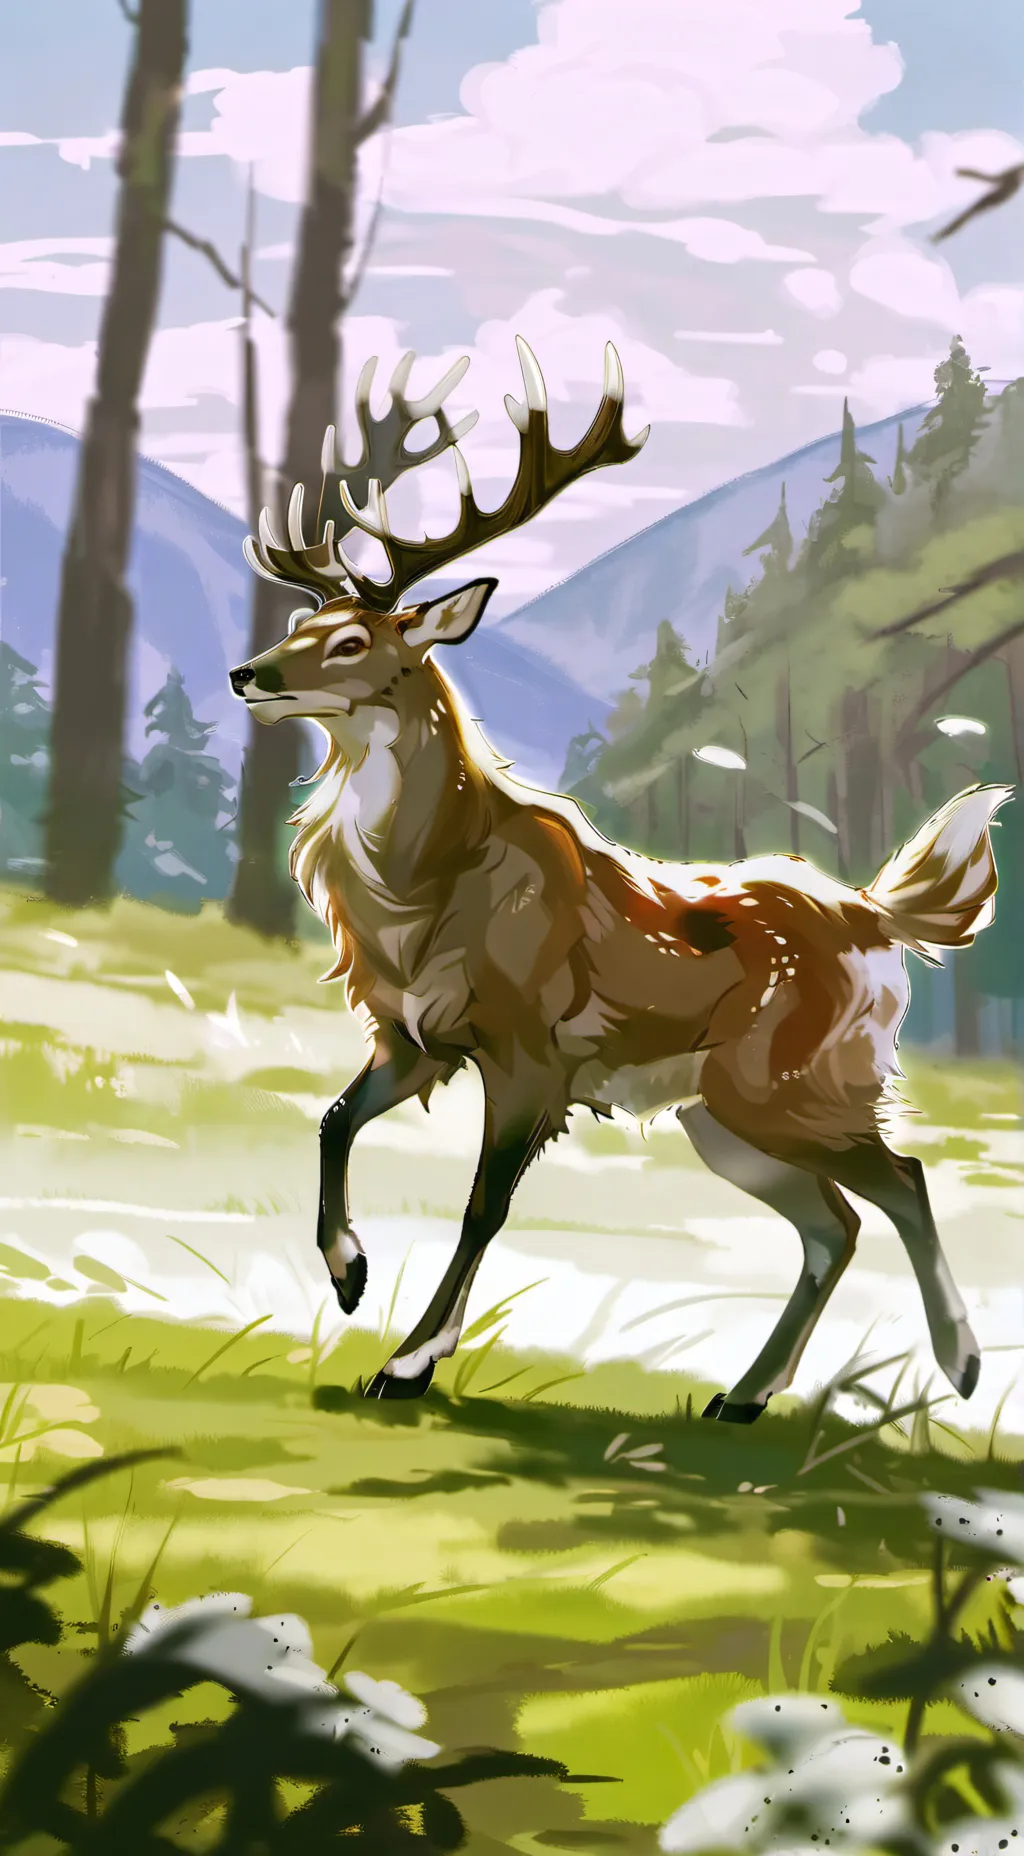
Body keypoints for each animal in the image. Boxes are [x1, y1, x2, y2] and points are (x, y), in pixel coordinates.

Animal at [229, 338, 1011, 1418]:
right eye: (306, 622)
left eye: (351, 640)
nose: (249, 673)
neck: (423, 896)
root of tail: (879, 918)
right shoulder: (418, 1036)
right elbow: (334, 1119)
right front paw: (348, 1273)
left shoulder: (533, 1050)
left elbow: (483, 1205)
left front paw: (408, 1361)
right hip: (721, 1113)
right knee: (834, 1221)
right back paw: (743, 1395)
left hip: (787, 1078)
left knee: (901, 1175)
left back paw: (961, 1363)